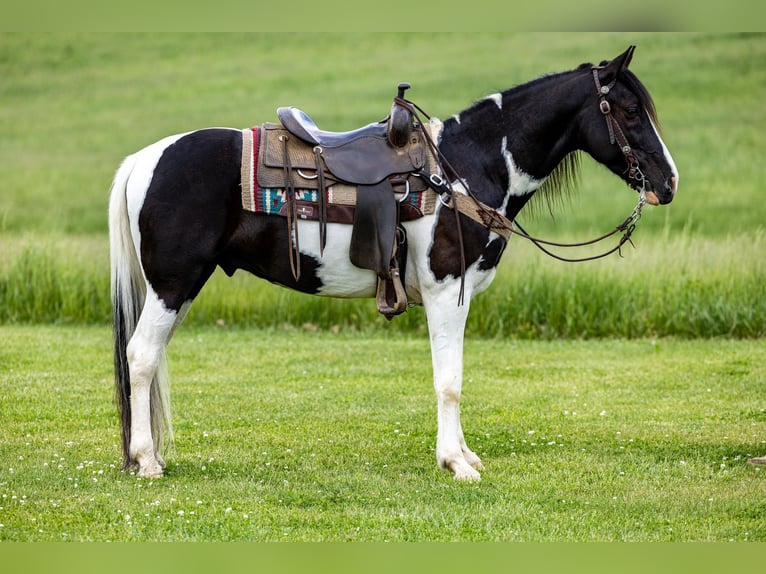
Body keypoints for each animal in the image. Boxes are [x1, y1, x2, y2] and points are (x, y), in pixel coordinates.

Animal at [109, 47, 680, 484]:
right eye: (630, 111)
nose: (669, 183)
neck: (464, 169)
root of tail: (143, 159)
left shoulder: (458, 295)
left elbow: (453, 373)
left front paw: (464, 454)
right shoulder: (446, 288)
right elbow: (449, 380)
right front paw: (455, 464)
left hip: (180, 288)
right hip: (172, 284)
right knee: (141, 357)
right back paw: (147, 461)